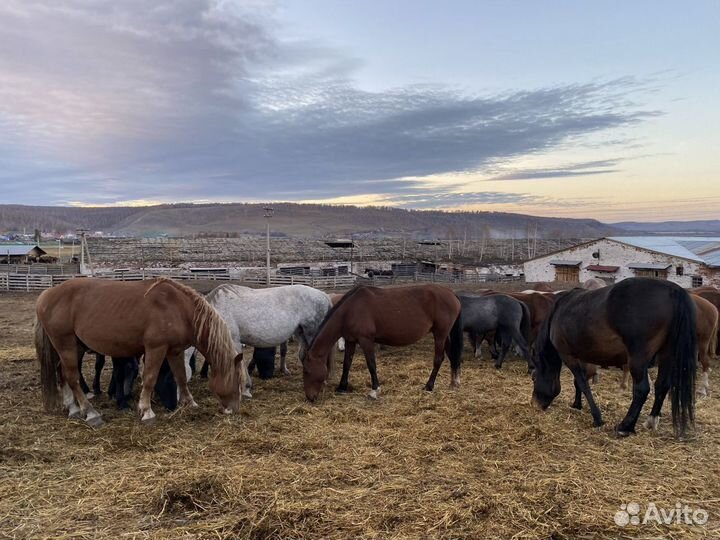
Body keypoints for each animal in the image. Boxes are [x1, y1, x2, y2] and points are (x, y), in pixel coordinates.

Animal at [35, 278, 245, 426]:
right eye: (236, 380)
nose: (235, 409)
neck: (178, 308)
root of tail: (47, 294)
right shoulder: (155, 348)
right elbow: (150, 378)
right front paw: (146, 411)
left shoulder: (174, 351)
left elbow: (181, 377)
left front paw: (189, 403)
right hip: (65, 344)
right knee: (72, 377)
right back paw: (91, 413)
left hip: (73, 347)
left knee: (62, 374)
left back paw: (72, 408)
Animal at [204, 282, 334, 396]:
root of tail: (323, 295)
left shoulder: (234, 340)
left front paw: (245, 389)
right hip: (301, 333)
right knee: (304, 355)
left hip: (312, 333)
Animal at [302, 282, 462, 400]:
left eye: (307, 371)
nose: (310, 397)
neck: (350, 310)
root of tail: (452, 293)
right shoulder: (350, 340)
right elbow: (347, 363)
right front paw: (342, 387)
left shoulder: (366, 340)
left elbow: (371, 364)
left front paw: (374, 390)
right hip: (444, 334)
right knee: (452, 355)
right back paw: (454, 382)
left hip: (440, 334)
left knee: (439, 359)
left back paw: (429, 386)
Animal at [532, 276, 696, 436]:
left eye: (534, 378)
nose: (535, 403)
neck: (558, 311)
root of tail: (673, 290)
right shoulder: (581, 357)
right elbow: (578, 382)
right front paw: (577, 405)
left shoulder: (567, 355)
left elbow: (583, 383)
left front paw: (597, 418)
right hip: (667, 356)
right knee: (662, 385)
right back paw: (651, 420)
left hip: (638, 360)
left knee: (642, 390)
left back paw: (625, 426)